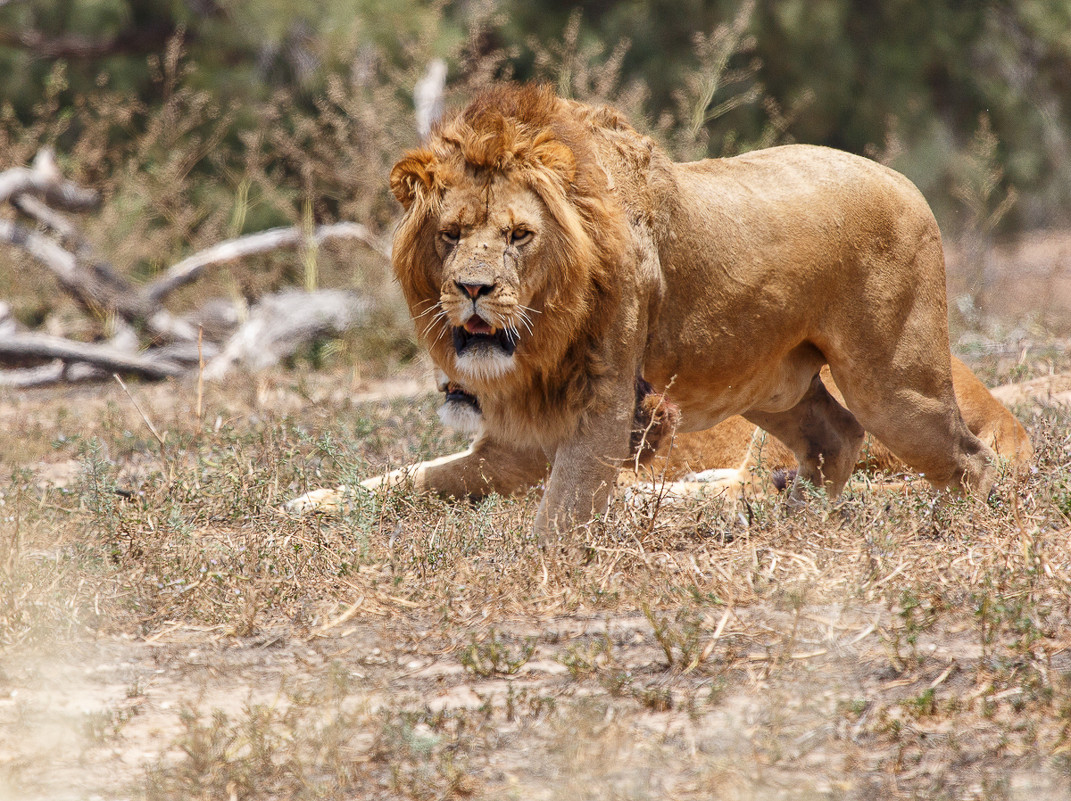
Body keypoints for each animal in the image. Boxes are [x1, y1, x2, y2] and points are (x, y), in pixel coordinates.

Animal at [287, 84, 993, 537]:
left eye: (519, 235)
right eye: (451, 234)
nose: (473, 289)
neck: (543, 335)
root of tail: (902, 178)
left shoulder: (597, 407)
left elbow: (553, 512)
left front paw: (534, 570)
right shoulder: (519, 441)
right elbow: (402, 478)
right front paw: (303, 503)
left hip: (893, 384)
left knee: (968, 457)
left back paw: (962, 529)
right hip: (770, 383)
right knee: (835, 436)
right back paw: (787, 526)